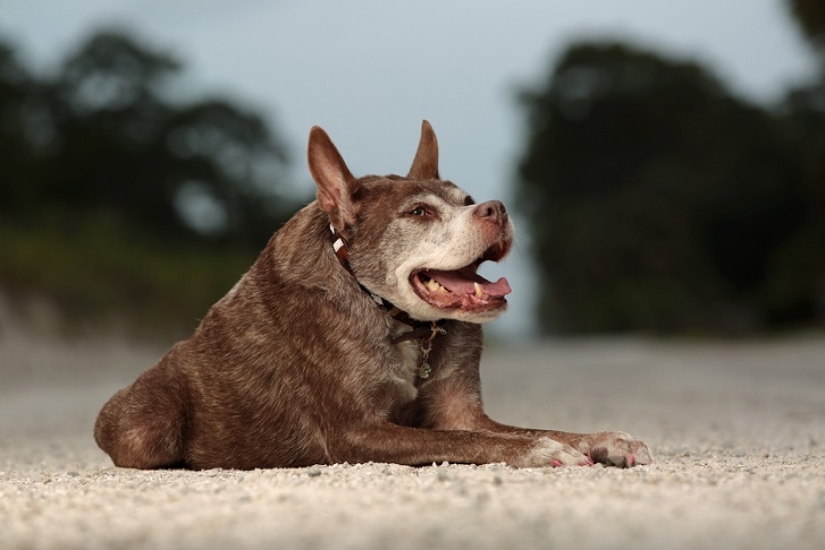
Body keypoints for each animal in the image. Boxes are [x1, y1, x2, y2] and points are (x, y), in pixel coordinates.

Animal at [95, 121, 652, 470]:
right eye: (419, 213)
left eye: (468, 200)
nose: (496, 208)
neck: (399, 320)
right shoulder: (358, 431)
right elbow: (467, 440)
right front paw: (542, 452)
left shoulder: (459, 409)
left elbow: (508, 428)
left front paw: (601, 440)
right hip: (147, 424)